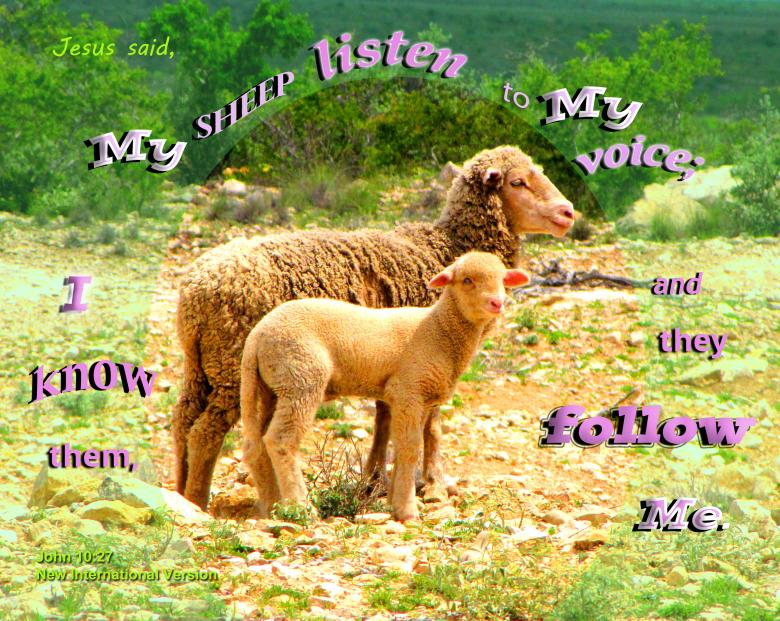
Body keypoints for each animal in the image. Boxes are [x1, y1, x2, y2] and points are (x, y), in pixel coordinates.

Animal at [241, 252, 529, 521]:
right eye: (467, 280)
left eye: (503, 279)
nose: (497, 302)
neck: (438, 330)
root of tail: (257, 336)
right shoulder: (408, 390)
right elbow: (411, 448)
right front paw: (407, 509)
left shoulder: (418, 396)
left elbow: (402, 448)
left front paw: (394, 502)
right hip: (302, 378)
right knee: (281, 440)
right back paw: (300, 507)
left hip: (272, 387)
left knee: (256, 445)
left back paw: (271, 504)